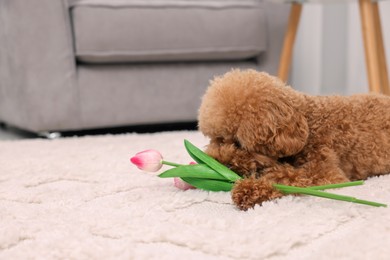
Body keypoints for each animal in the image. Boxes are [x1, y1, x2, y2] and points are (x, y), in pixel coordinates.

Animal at [200, 69, 390, 211]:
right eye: (216, 138)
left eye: (238, 143)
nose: (217, 162)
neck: (306, 124)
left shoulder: (328, 175)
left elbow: (288, 177)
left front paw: (249, 189)